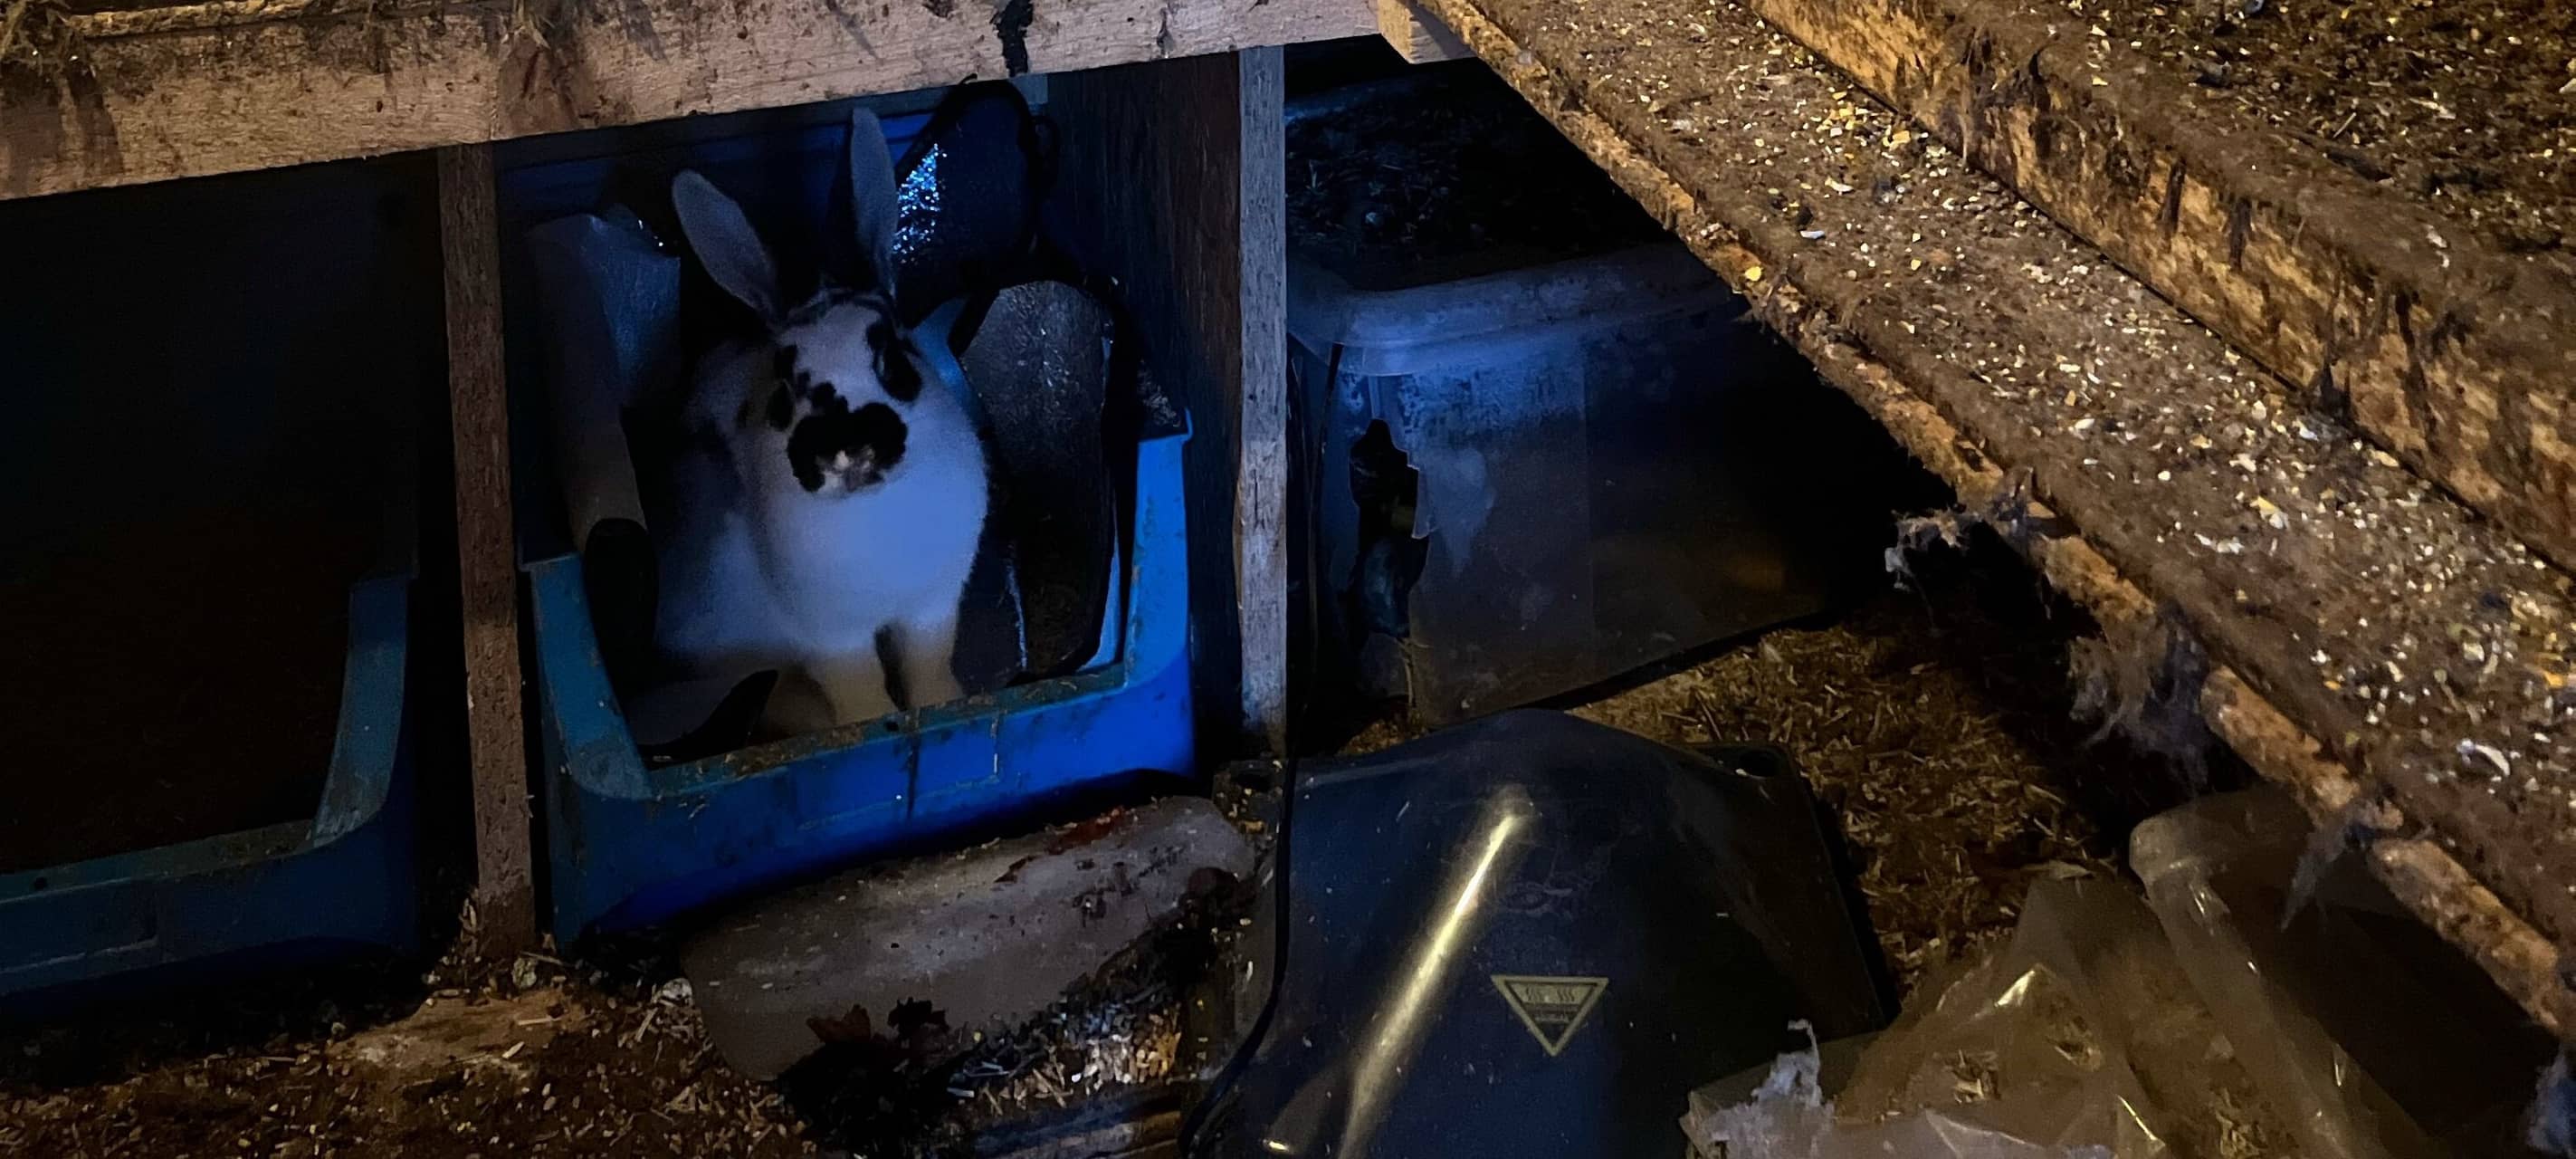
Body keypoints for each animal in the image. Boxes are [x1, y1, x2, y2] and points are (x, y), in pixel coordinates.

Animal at [649, 109, 990, 737]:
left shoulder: (932, 606)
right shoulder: (829, 636)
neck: (875, 511)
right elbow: (858, 686)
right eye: (785, 384)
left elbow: (927, 662)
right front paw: (870, 725)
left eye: (892, 357)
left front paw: (946, 704)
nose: (848, 450)